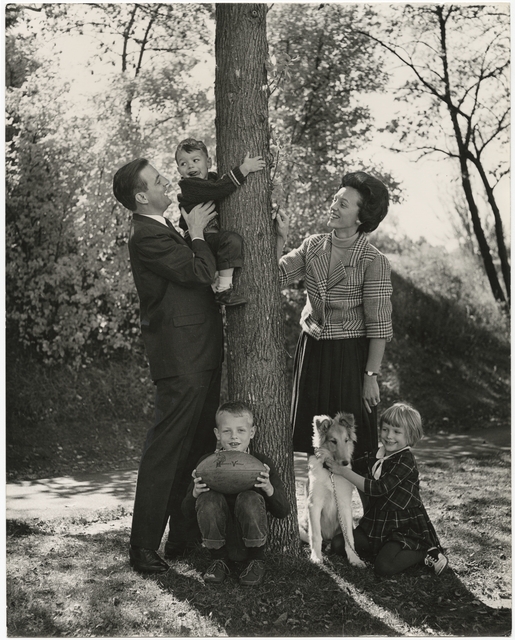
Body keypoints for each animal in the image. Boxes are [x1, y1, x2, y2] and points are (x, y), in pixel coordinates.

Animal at [298, 412, 366, 568]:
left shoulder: (345, 505)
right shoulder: (314, 503)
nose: (345, 463)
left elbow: (349, 537)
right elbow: (315, 536)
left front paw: (355, 559)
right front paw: (316, 558)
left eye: (346, 440)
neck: (331, 473)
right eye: (333, 441)